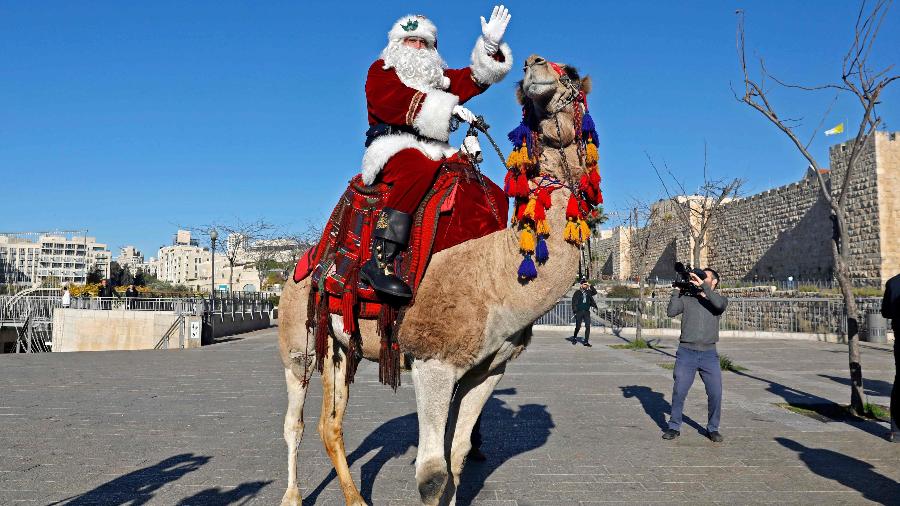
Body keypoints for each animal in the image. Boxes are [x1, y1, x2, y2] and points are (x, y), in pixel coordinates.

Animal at [278, 55, 596, 506]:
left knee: (331, 423)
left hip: (342, 347)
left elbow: (458, 455)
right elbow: (431, 474)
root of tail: (300, 265)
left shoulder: (488, 370)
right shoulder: (433, 360)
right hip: (297, 343)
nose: (534, 66)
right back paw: (292, 496)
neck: (495, 274)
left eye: (568, 71)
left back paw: (356, 498)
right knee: (295, 422)